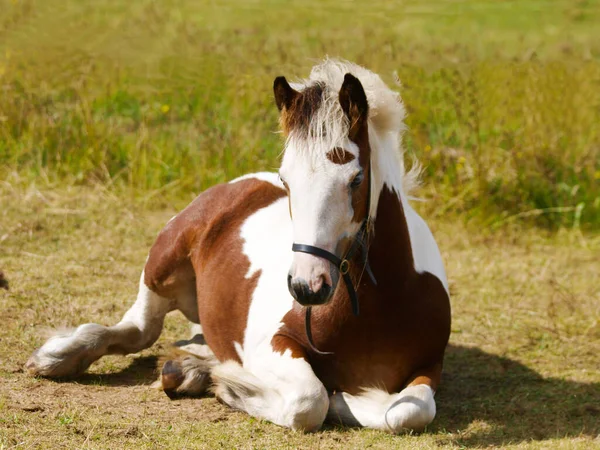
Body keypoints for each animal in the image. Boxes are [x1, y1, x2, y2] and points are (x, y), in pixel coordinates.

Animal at [27, 59, 450, 432]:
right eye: (287, 179)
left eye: (356, 179)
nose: (306, 287)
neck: (374, 312)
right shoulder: (273, 345)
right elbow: (310, 400)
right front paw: (232, 386)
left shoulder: (430, 367)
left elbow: (408, 412)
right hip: (162, 262)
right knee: (139, 328)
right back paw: (59, 356)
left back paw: (190, 366)